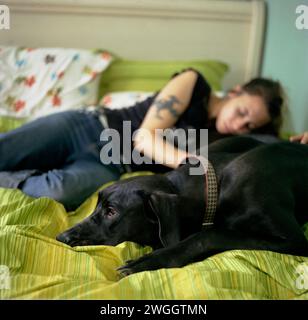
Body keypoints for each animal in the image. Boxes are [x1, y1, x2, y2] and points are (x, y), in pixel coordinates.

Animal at [56, 137, 308, 276]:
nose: (61, 237)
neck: (219, 188)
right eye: (97, 206)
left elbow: (209, 235)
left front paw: (149, 261)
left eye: (111, 212)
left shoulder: (294, 241)